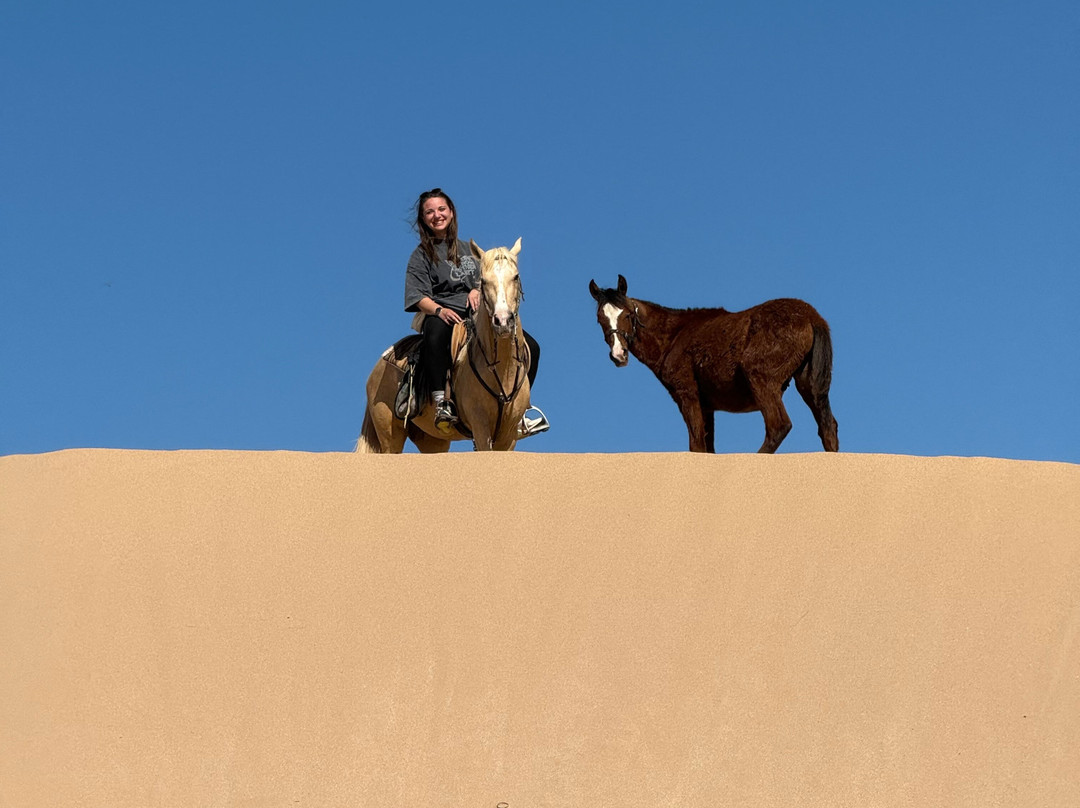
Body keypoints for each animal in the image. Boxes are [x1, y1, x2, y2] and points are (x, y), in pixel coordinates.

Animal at [589, 275, 839, 454]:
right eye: (600, 319)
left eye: (628, 315)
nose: (618, 354)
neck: (673, 336)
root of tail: (812, 317)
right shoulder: (706, 406)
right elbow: (706, 447)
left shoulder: (687, 395)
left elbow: (696, 444)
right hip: (808, 385)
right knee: (828, 429)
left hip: (760, 380)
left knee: (778, 426)